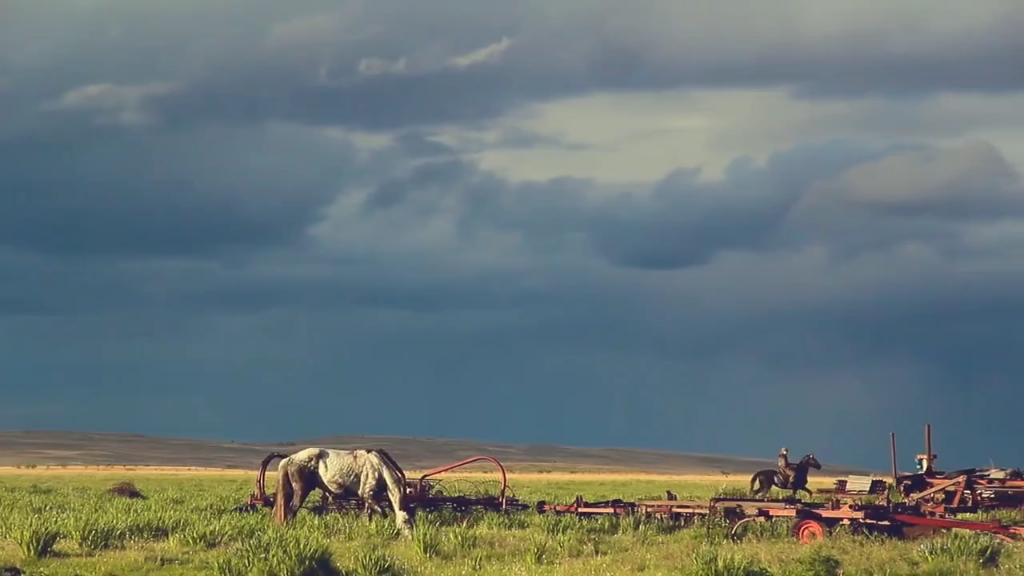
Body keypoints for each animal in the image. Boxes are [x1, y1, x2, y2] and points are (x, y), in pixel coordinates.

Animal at [276, 444, 415, 532]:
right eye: (406, 522)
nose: (411, 540)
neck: (379, 466)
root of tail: (290, 458)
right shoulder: (367, 495)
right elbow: (383, 514)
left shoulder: (369, 499)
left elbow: (368, 516)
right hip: (301, 491)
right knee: (291, 511)